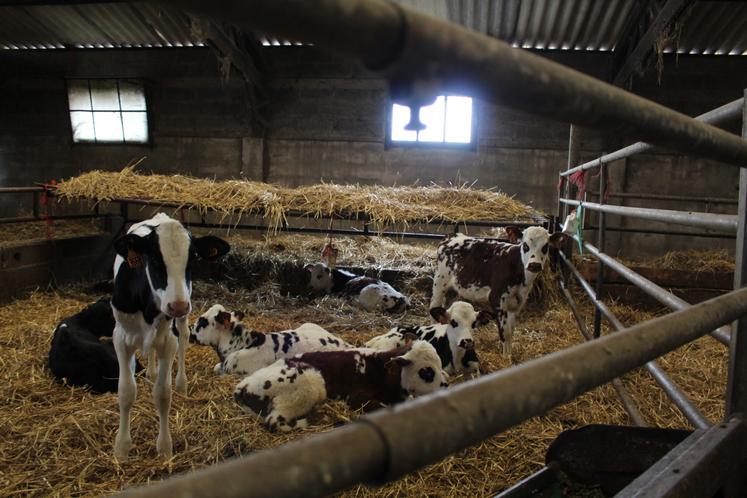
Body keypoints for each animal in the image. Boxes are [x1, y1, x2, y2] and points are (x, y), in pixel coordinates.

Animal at [112, 214, 231, 460]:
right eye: (154, 259)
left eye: (192, 259)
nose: (178, 306)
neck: (148, 308)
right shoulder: (120, 337)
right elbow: (126, 391)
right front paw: (122, 447)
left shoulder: (169, 340)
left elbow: (162, 395)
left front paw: (164, 447)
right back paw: (151, 371)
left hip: (182, 320)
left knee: (184, 339)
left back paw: (181, 383)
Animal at [234, 338, 448, 432]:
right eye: (427, 372)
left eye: (440, 364)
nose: (446, 385)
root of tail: (242, 387)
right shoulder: (357, 398)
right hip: (307, 386)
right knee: (274, 421)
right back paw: (317, 418)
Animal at [430, 226, 564, 358]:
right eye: (525, 245)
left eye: (545, 247)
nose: (534, 265)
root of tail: (451, 236)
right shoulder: (497, 299)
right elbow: (504, 332)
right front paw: (505, 358)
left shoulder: (517, 305)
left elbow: (510, 332)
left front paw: (509, 356)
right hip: (440, 282)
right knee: (433, 310)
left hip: (453, 290)